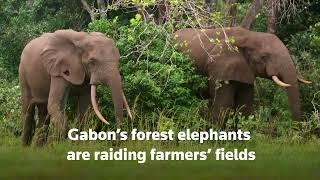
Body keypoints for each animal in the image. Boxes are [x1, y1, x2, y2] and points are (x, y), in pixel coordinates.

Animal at [174, 27, 312, 127]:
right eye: (264, 57)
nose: (296, 128)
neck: (249, 36)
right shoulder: (219, 67)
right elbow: (223, 104)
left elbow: (244, 104)